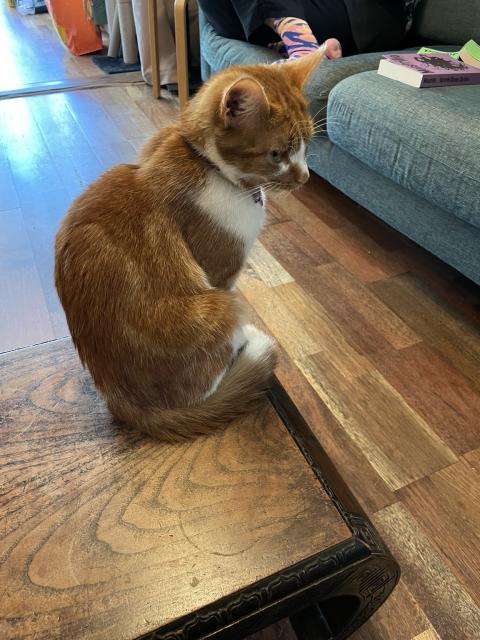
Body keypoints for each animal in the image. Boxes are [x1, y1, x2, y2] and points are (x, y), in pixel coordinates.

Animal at [54, 48, 324, 440]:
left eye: (307, 146)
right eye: (276, 154)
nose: (305, 178)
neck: (209, 166)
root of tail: (121, 402)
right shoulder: (221, 272)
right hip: (221, 305)